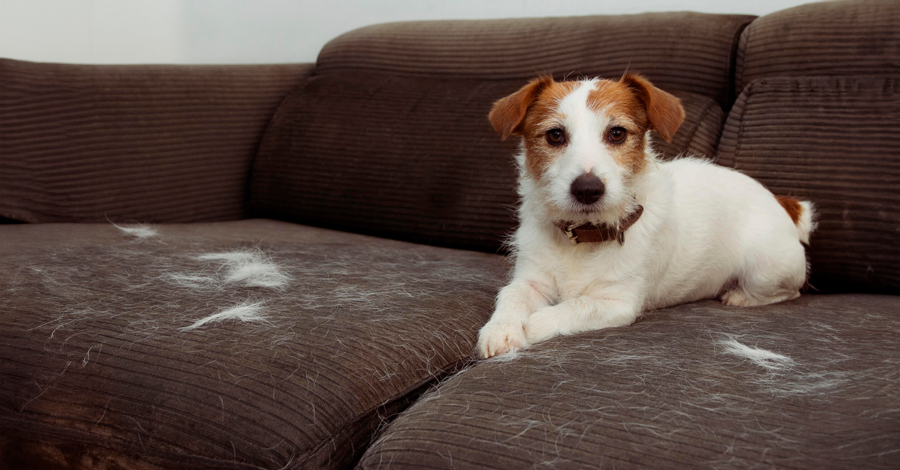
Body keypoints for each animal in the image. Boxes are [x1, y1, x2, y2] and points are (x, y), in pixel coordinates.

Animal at [478, 75, 816, 358]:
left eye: (617, 133)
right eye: (555, 135)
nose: (587, 189)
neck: (585, 236)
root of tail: (780, 202)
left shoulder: (616, 304)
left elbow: (568, 308)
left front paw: (529, 327)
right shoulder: (531, 281)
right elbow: (511, 295)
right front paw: (501, 329)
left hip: (765, 270)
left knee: (790, 291)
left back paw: (739, 296)